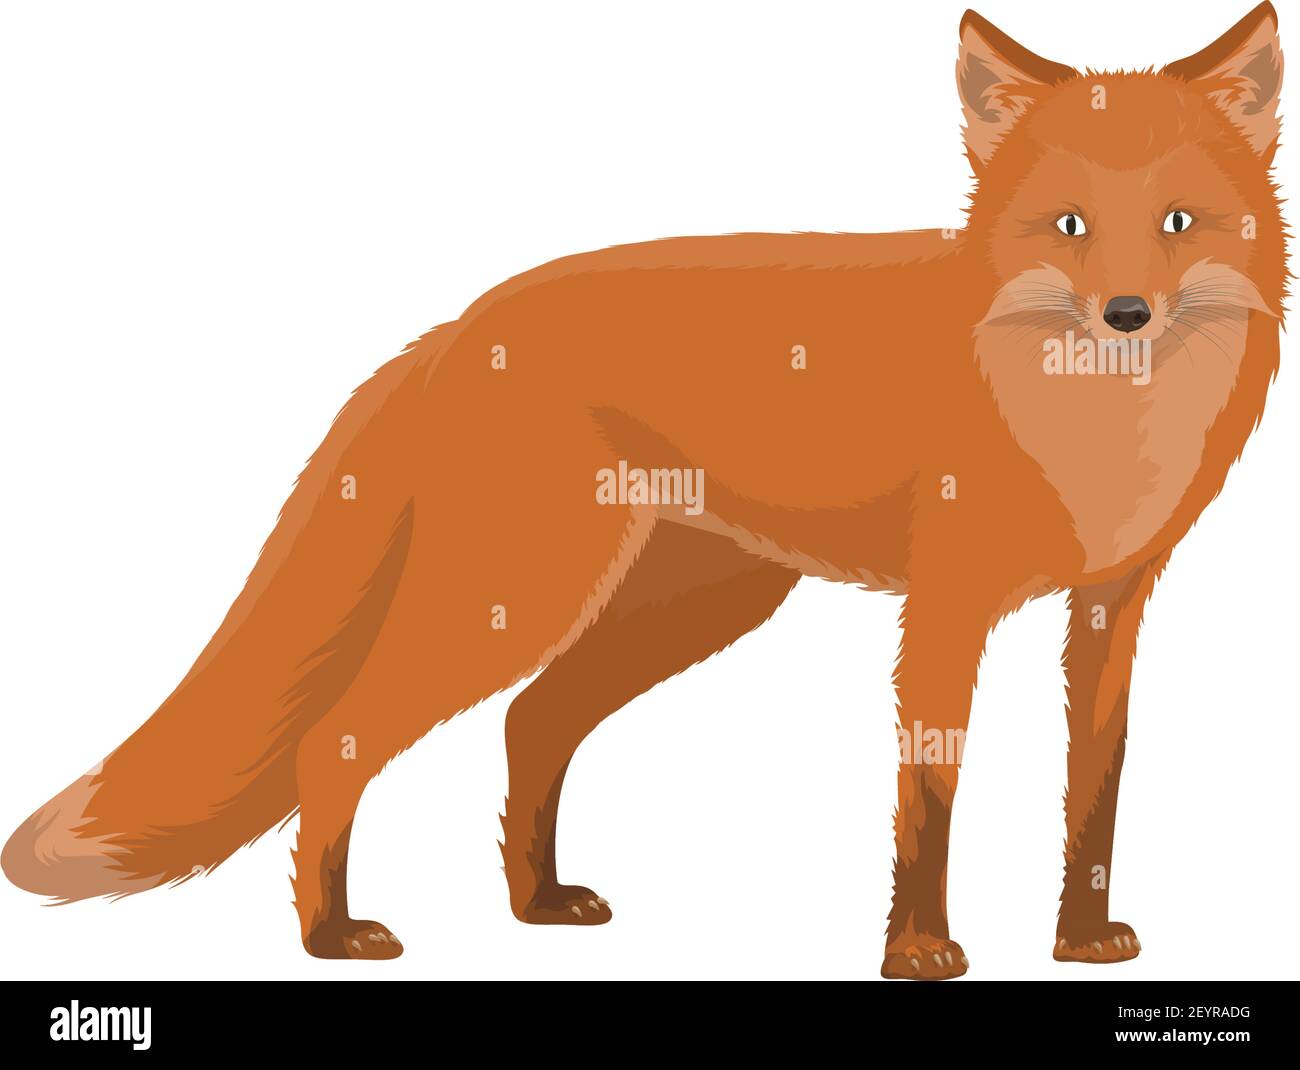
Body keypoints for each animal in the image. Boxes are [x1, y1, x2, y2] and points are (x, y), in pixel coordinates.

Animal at [2, 4, 1288, 979]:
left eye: (1176, 223)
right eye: (1068, 225)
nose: (1126, 315)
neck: (1093, 432)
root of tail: (463, 323)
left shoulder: (1113, 601)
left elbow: (1095, 791)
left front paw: (1080, 939)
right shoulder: (946, 605)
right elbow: (928, 793)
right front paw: (917, 951)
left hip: (684, 603)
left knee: (530, 720)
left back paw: (535, 904)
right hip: (519, 598)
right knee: (339, 736)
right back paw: (331, 932)